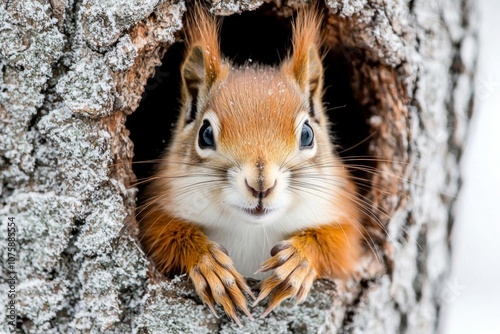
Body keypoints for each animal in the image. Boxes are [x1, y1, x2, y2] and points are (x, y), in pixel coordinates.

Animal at [139, 3, 362, 326]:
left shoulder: (343, 211)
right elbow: (161, 235)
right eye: (206, 134)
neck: (251, 230)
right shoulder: (159, 202)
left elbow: (341, 246)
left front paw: (297, 261)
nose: (261, 184)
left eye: (307, 134)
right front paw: (210, 265)